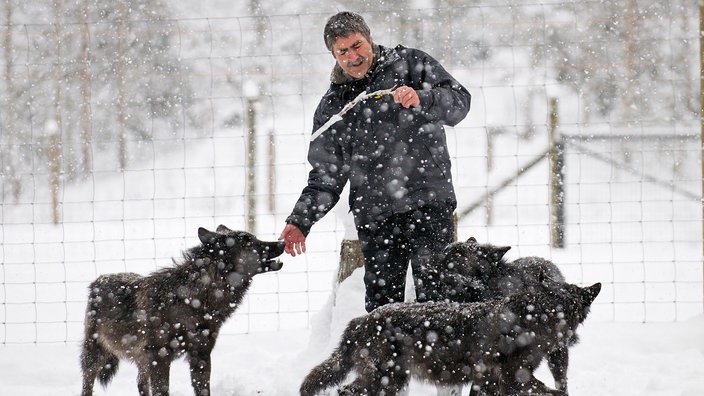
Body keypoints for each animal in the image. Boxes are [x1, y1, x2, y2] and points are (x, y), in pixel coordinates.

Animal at [80, 226, 284, 396]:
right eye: (249, 242)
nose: (282, 243)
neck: (194, 300)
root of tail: (99, 280)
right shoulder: (159, 357)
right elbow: (162, 391)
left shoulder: (201, 355)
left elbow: (203, 390)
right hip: (95, 354)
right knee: (87, 384)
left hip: (141, 359)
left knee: (141, 384)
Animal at [300, 272, 604, 396]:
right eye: (554, 307)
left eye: (568, 308)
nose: (570, 339)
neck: (531, 319)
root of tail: (362, 319)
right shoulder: (514, 379)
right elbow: (555, 393)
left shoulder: (488, 382)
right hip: (384, 378)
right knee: (345, 391)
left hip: (391, 381)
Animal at [432, 237, 576, 394]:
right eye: (446, 249)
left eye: (458, 254)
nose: (429, 260)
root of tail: (545, 261)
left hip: (557, 354)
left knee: (561, 383)